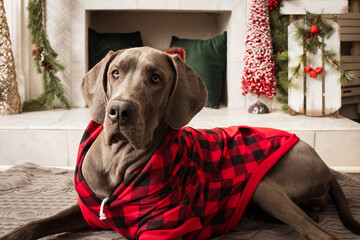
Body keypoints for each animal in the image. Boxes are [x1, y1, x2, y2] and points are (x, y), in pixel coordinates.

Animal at [0, 47, 360, 240]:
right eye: (115, 73)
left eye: (155, 78)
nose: (119, 110)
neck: (118, 159)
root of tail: (325, 166)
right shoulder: (91, 209)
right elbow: (38, 222)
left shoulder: (164, 229)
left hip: (265, 186)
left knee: (318, 231)